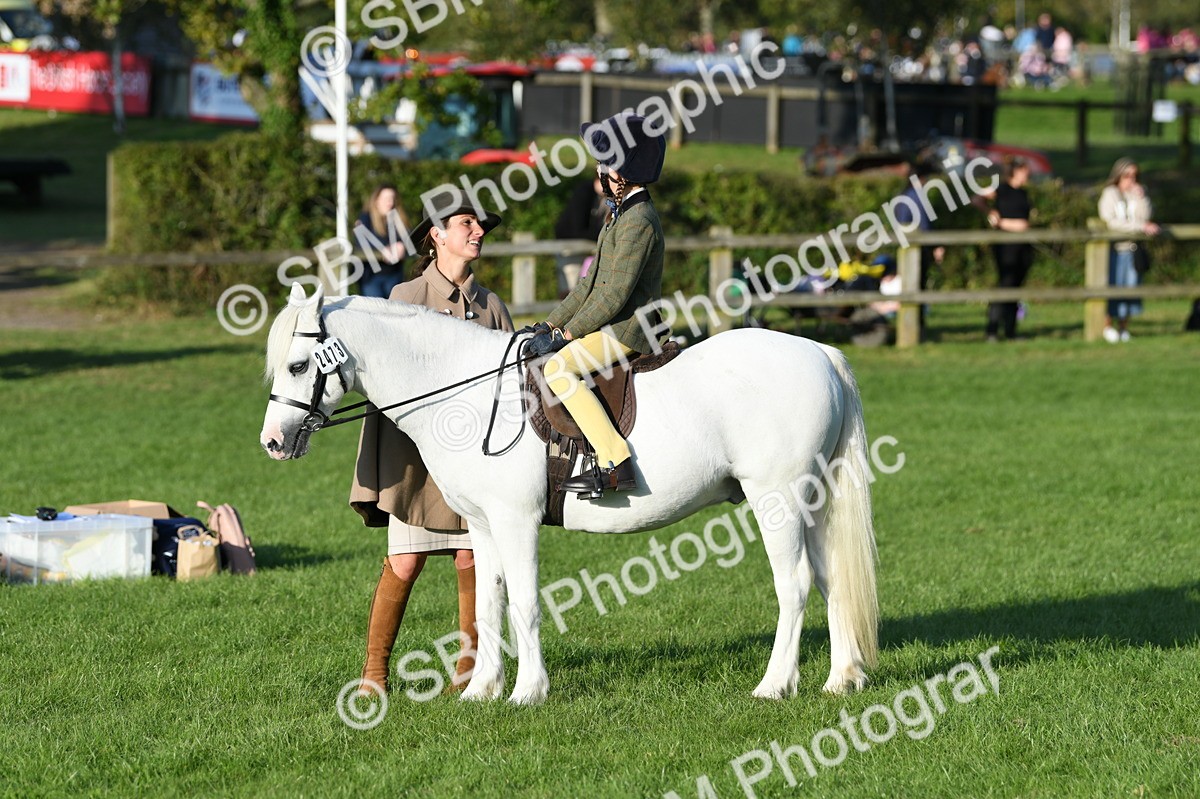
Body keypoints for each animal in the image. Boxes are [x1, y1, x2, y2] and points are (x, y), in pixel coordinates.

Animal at [259, 283, 879, 704]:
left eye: (298, 364)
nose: (272, 442)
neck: (464, 389)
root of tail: (821, 353)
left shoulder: (515, 520)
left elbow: (525, 603)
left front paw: (527, 692)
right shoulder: (483, 527)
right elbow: (487, 604)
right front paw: (480, 690)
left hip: (778, 500)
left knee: (795, 584)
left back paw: (775, 684)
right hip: (812, 502)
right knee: (831, 579)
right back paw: (840, 679)